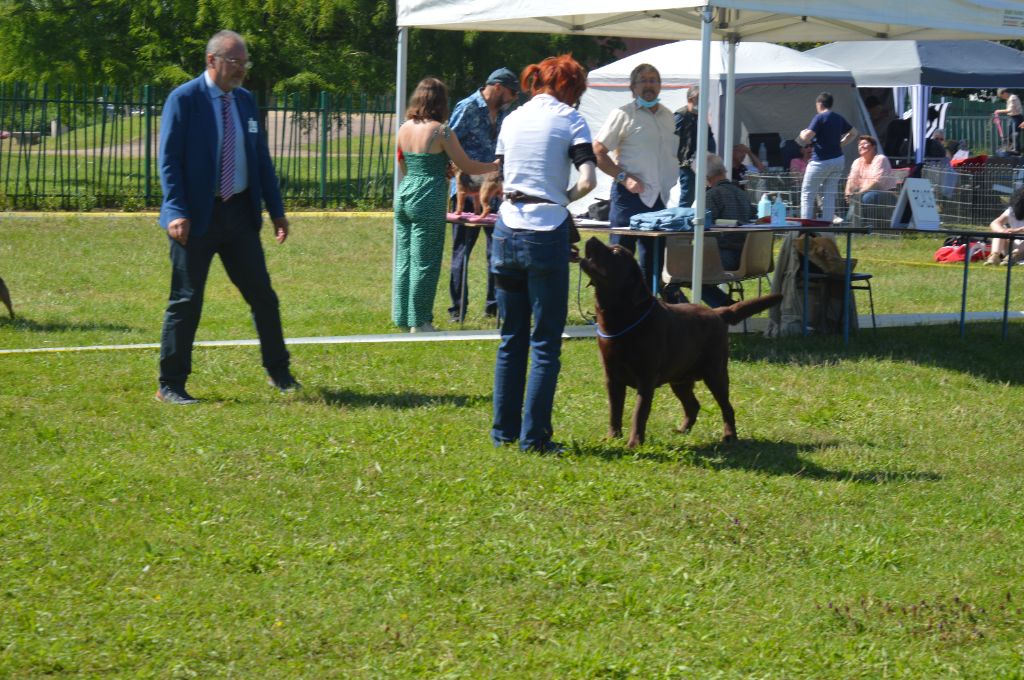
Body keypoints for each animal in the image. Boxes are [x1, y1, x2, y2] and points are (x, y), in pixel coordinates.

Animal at [581, 236, 778, 448]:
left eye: (616, 252)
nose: (591, 238)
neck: (621, 319)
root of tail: (717, 313)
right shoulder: (612, 377)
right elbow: (614, 411)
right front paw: (612, 437)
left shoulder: (646, 378)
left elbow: (639, 413)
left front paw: (634, 442)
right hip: (679, 378)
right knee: (693, 405)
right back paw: (683, 430)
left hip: (715, 372)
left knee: (727, 407)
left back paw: (729, 435)